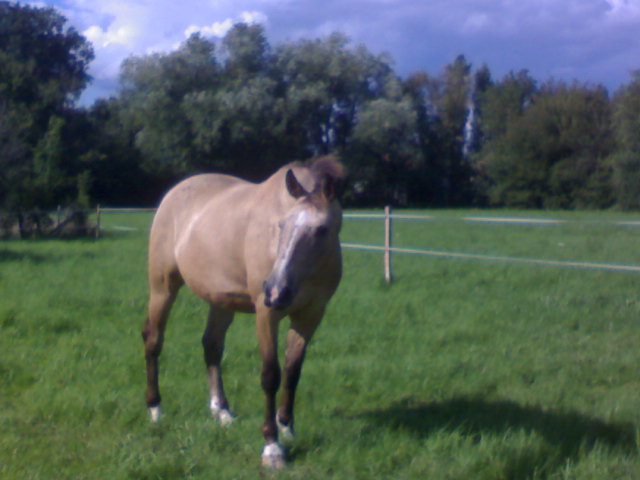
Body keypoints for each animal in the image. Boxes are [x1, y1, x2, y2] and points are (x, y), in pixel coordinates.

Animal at [141, 156, 344, 466]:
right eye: (281, 225)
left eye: (322, 229)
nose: (276, 290)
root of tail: (175, 193)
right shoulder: (266, 313)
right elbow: (271, 375)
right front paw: (272, 446)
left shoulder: (311, 315)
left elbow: (292, 371)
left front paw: (287, 428)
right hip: (163, 287)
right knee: (154, 340)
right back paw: (156, 409)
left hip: (220, 300)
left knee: (212, 346)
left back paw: (221, 411)